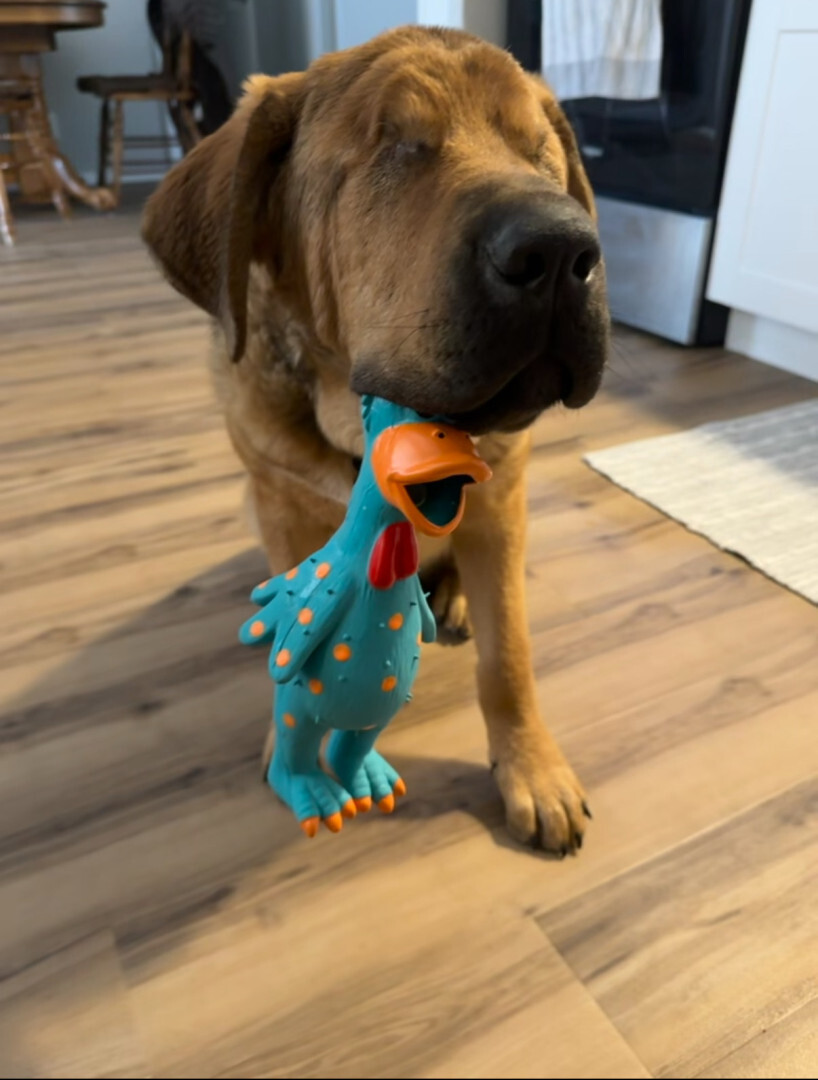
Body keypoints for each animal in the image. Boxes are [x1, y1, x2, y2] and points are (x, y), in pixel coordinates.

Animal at [143, 25, 609, 851]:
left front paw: (533, 770)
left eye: (539, 152)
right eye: (395, 146)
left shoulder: (502, 510)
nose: (561, 252)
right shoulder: (282, 505)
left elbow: (509, 661)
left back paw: (454, 600)